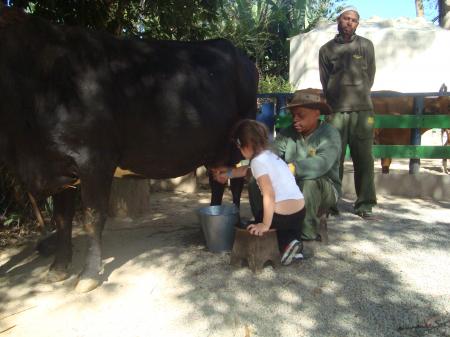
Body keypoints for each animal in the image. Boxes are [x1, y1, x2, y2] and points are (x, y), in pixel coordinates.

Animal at [0, 7, 256, 292]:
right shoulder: (60, 164)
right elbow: (62, 218)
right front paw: (58, 268)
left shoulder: (94, 160)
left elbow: (92, 217)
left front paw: (88, 274)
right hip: (215, 148)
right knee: (218, 181)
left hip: (238, 139)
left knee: (236, 182)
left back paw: (234, 222)